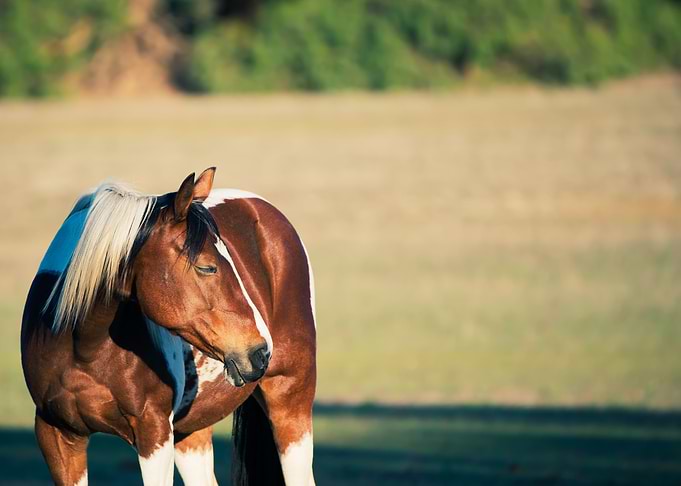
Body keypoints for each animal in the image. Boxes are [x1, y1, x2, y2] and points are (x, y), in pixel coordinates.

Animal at [21, 168, 317, 486]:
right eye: (206, 267)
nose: (260, 351)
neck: (84, 346)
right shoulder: (56, 434)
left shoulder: (154, 433)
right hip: (192, 430)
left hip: (290, 403)